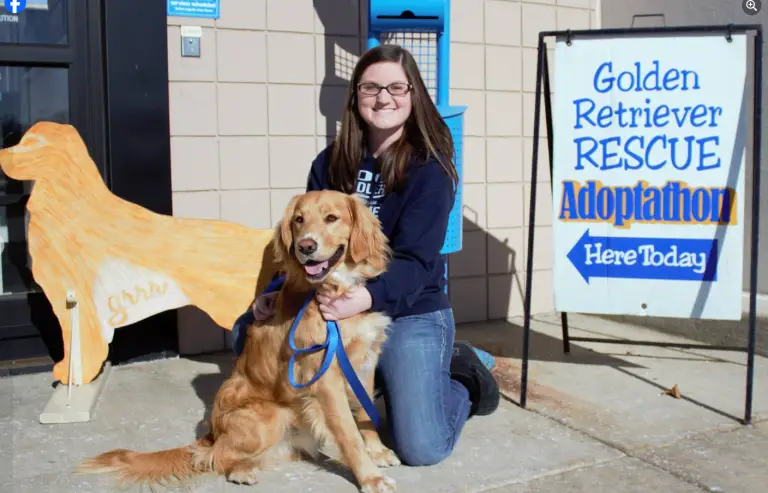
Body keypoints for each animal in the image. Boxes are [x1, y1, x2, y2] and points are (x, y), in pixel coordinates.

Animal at [78, 189, 402, 492]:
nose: (305, 246)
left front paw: (377, 451)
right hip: (269, 417)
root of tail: (213, 434)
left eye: (332, 218)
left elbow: (366, 413)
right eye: (299, 220)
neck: (333, 287)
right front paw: (370, 477)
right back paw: (240, 471)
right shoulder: (324, 376)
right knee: (215, 457)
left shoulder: (365, 361)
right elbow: (348, 431)